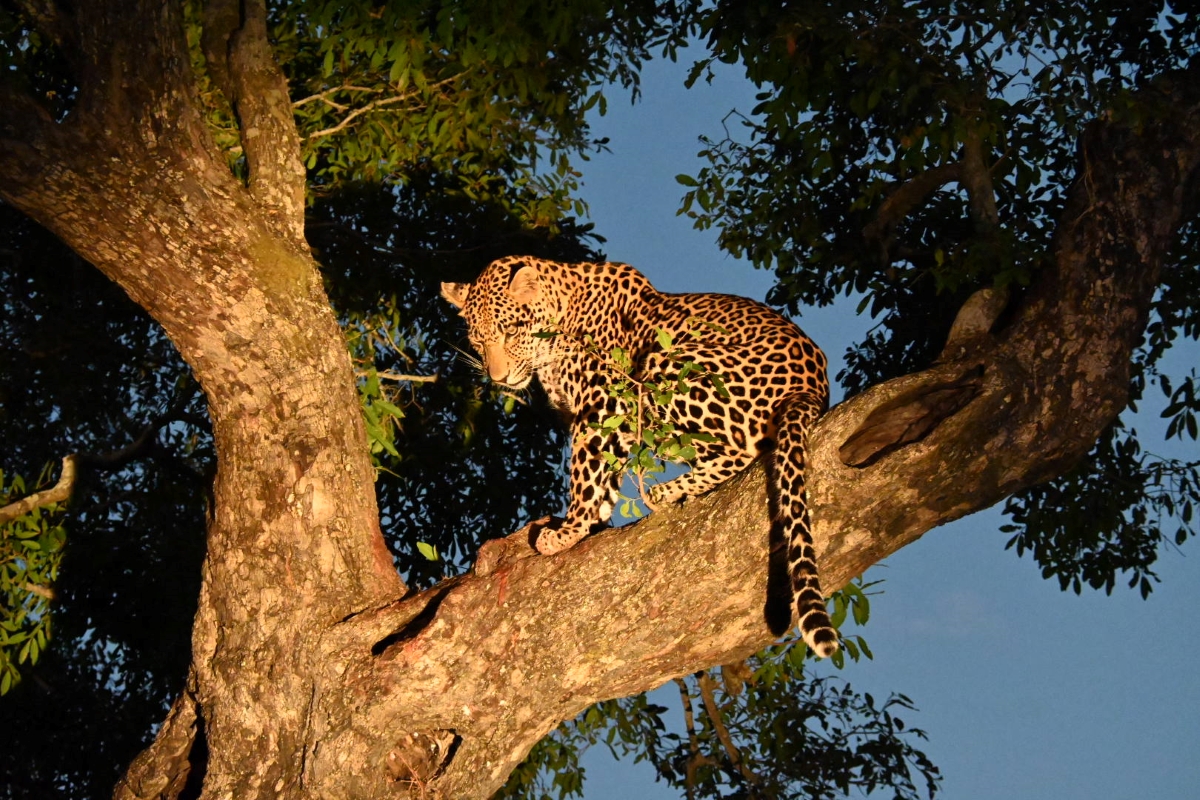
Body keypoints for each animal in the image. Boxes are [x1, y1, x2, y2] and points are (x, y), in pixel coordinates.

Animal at [439, 255, 835, 657]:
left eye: (510, 332)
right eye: (478, 341)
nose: (499, 378)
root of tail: (811, 390)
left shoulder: (601, 403)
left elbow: (585, 473)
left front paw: (567, 531)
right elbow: (603, 476)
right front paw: (591, 524)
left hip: (667, 363)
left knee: (742, 449)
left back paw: (665, 492)